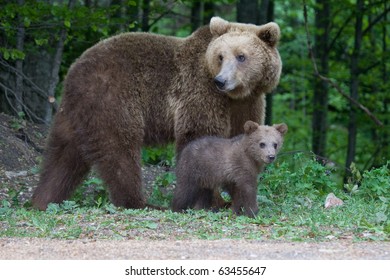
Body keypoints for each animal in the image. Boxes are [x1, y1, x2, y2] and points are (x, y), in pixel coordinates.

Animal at [30, 17, 280, 210]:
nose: (221, 81)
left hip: (73, 114)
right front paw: (213, 201)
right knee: (119, 151)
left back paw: (42, 200)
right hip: (114, 99)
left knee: (62, 156)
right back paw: (139, 202)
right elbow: (199, 138)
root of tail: (74, 70)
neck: (235, 95)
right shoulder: (200, 92)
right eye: (220, 56)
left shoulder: (247, 103)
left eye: (241, 56)